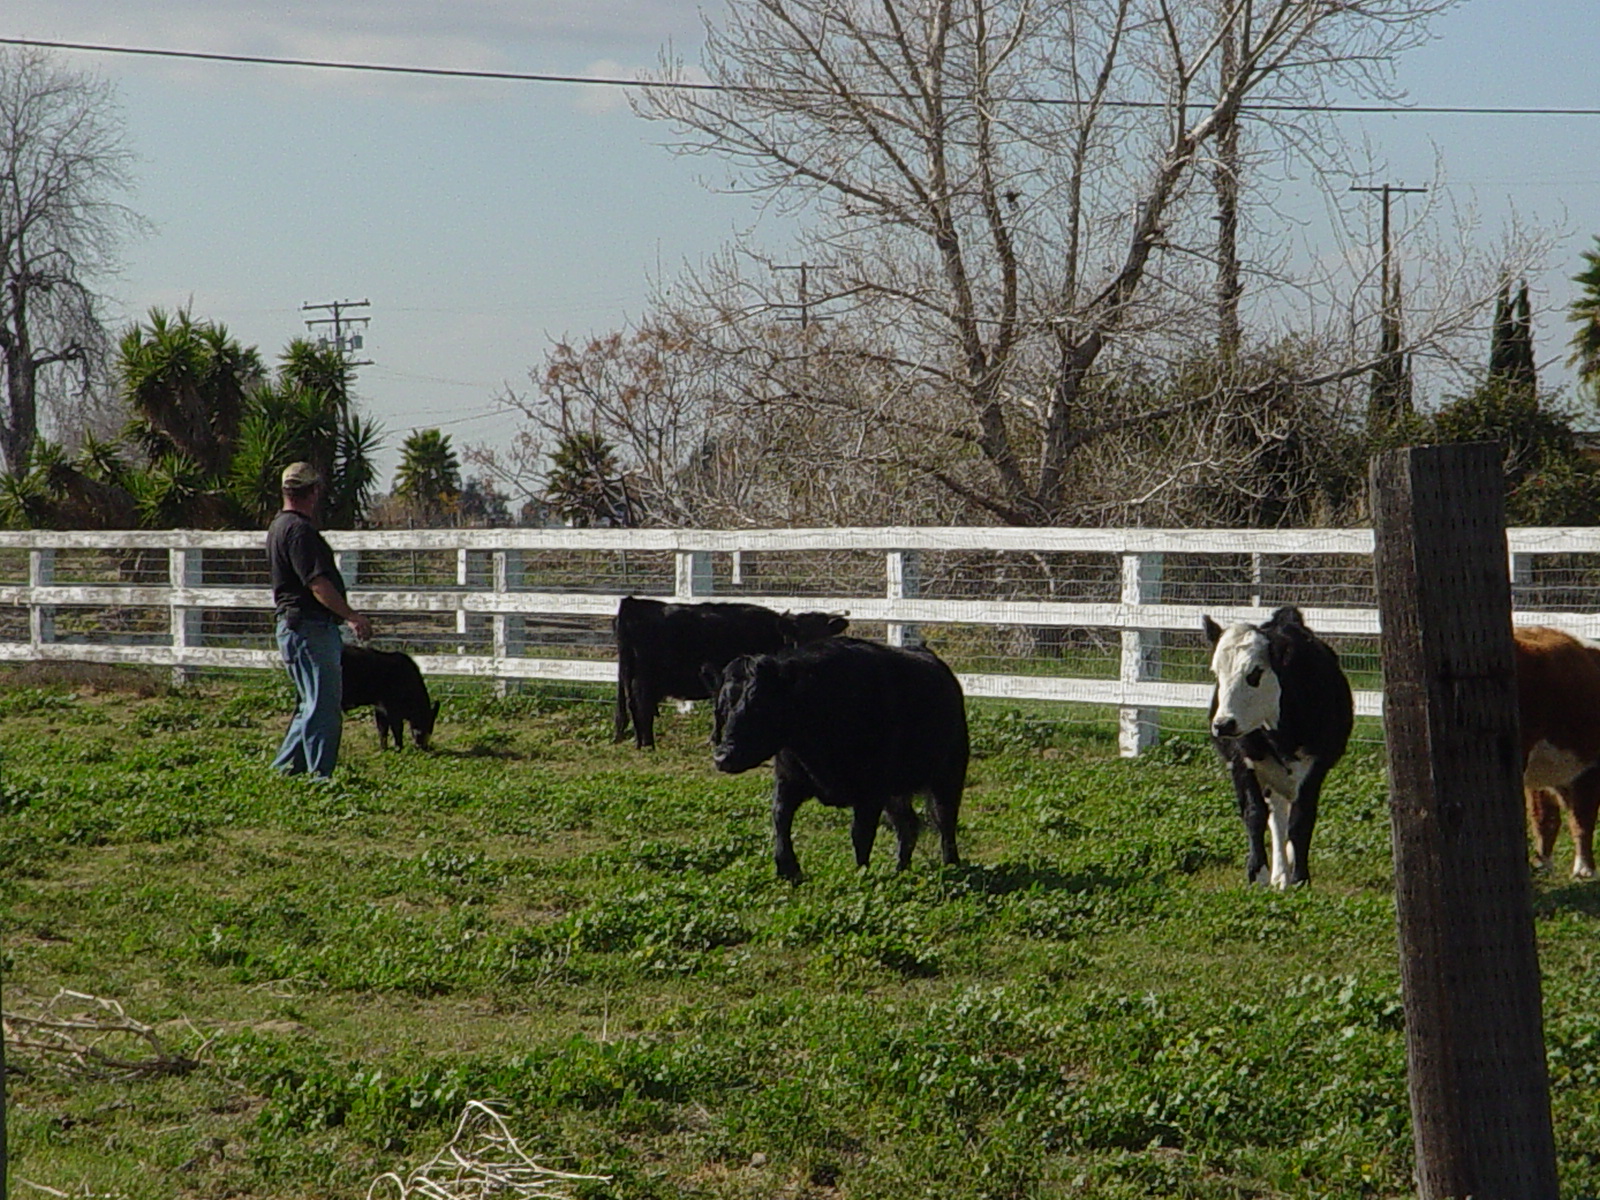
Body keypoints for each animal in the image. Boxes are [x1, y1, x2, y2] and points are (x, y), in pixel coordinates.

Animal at [613, 596, 847, 749]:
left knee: (633, 705)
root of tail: (632, 604)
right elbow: (721, 709)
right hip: (643, 678)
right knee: (641, 706)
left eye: (825, 636)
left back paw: (639, 741)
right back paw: (648, 744)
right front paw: (717, 740)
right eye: (801, 638)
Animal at [706, 636, 968, 882]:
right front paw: (788, 869)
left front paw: (861, 873)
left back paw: (952, 865)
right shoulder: (788, 778)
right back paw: (901, 870)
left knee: (944, 820)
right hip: (896, 793)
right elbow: (780, 816)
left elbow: (860, 834)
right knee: (908, 825)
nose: (722, 756)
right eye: (724, 709)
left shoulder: (870, 793)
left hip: (949, 774)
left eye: (759, 706)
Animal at [1203, 606, 1353, 889]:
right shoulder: (1240, 761)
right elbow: (1255, 814)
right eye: (1216, 675)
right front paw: (1257, 872)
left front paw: (1300, 878)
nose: (1223, 724)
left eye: (1254, 673)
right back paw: (1279, 874)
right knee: (1277, 818)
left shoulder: (1315, 767)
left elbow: (1302, 820)